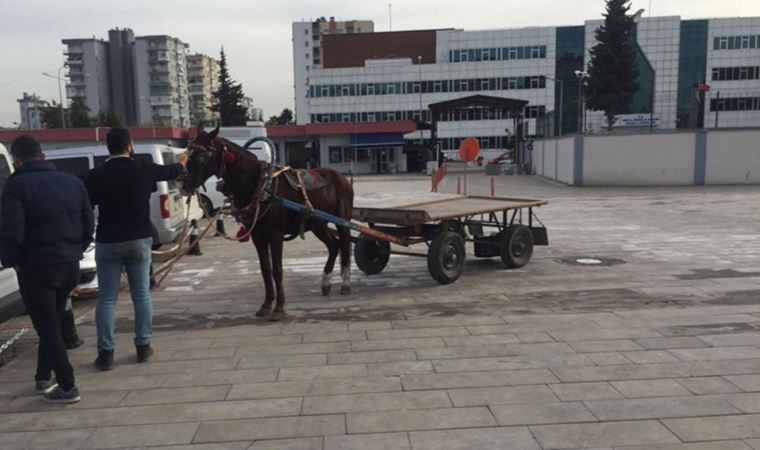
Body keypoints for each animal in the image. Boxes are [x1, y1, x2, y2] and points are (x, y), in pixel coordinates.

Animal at [180, 125, 354, 320]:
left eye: (201, 157)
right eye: (187, 155)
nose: (183, 185)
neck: (260, 186)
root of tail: (342, 177)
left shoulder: (275, 235)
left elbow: (277, 270)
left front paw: (279, 308)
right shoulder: (258, 236)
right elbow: (265, 269)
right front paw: (266, 304)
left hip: (342, 220)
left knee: (345, 246)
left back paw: (345, 283)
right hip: (318, 223)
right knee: (334, 246)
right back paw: (325, 283)